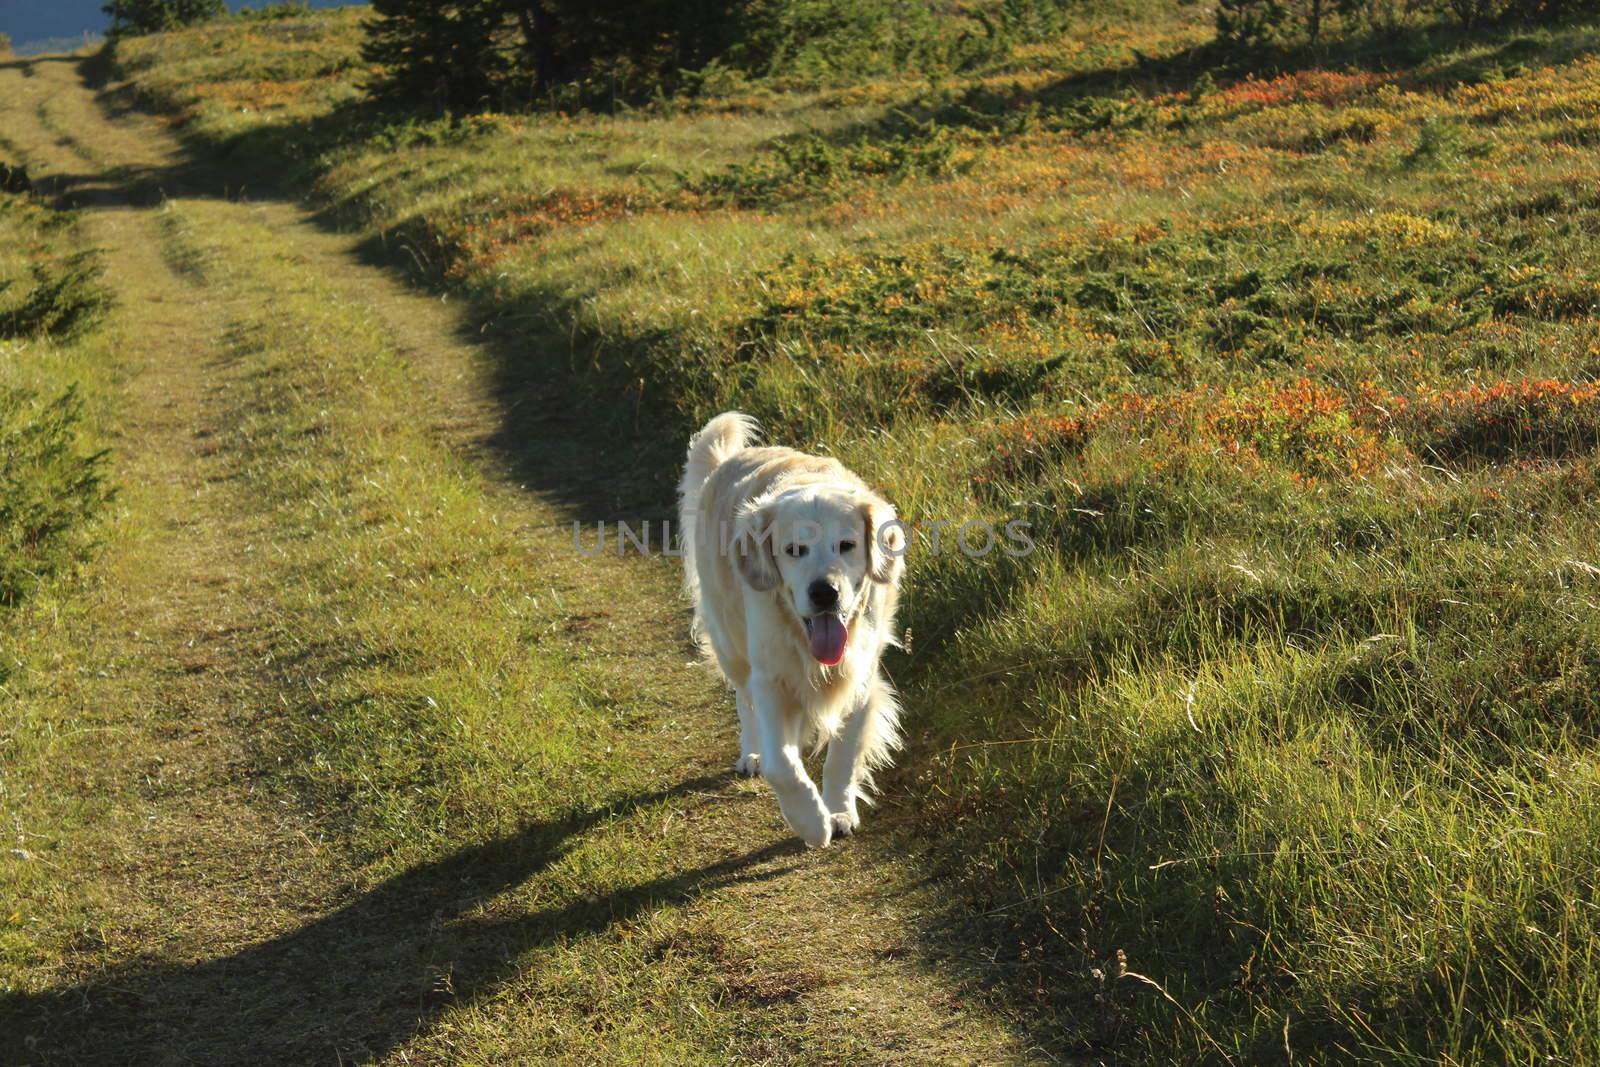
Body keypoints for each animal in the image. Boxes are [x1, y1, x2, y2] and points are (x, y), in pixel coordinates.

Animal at [675, 412, 902, 844]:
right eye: (794, 550)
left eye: (847, 545)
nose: (824, 592)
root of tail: (731, 460)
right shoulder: (771, 676)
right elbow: (781, 764)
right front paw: (811, 821)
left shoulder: (860, 676)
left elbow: (843, 754)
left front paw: (839, 809)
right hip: (732, 644)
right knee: (744, 702)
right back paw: (751, 753)